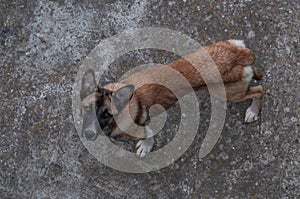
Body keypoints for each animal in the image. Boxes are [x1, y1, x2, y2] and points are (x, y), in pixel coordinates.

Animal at [80, 39, 262, 157]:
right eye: (87, 108)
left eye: (107, 114)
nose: (88, 134)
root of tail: (239, 54)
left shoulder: (140, 128)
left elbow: (148, 135)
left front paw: (146, 147)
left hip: (231, 94)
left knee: (259, 90)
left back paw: (253, 111)